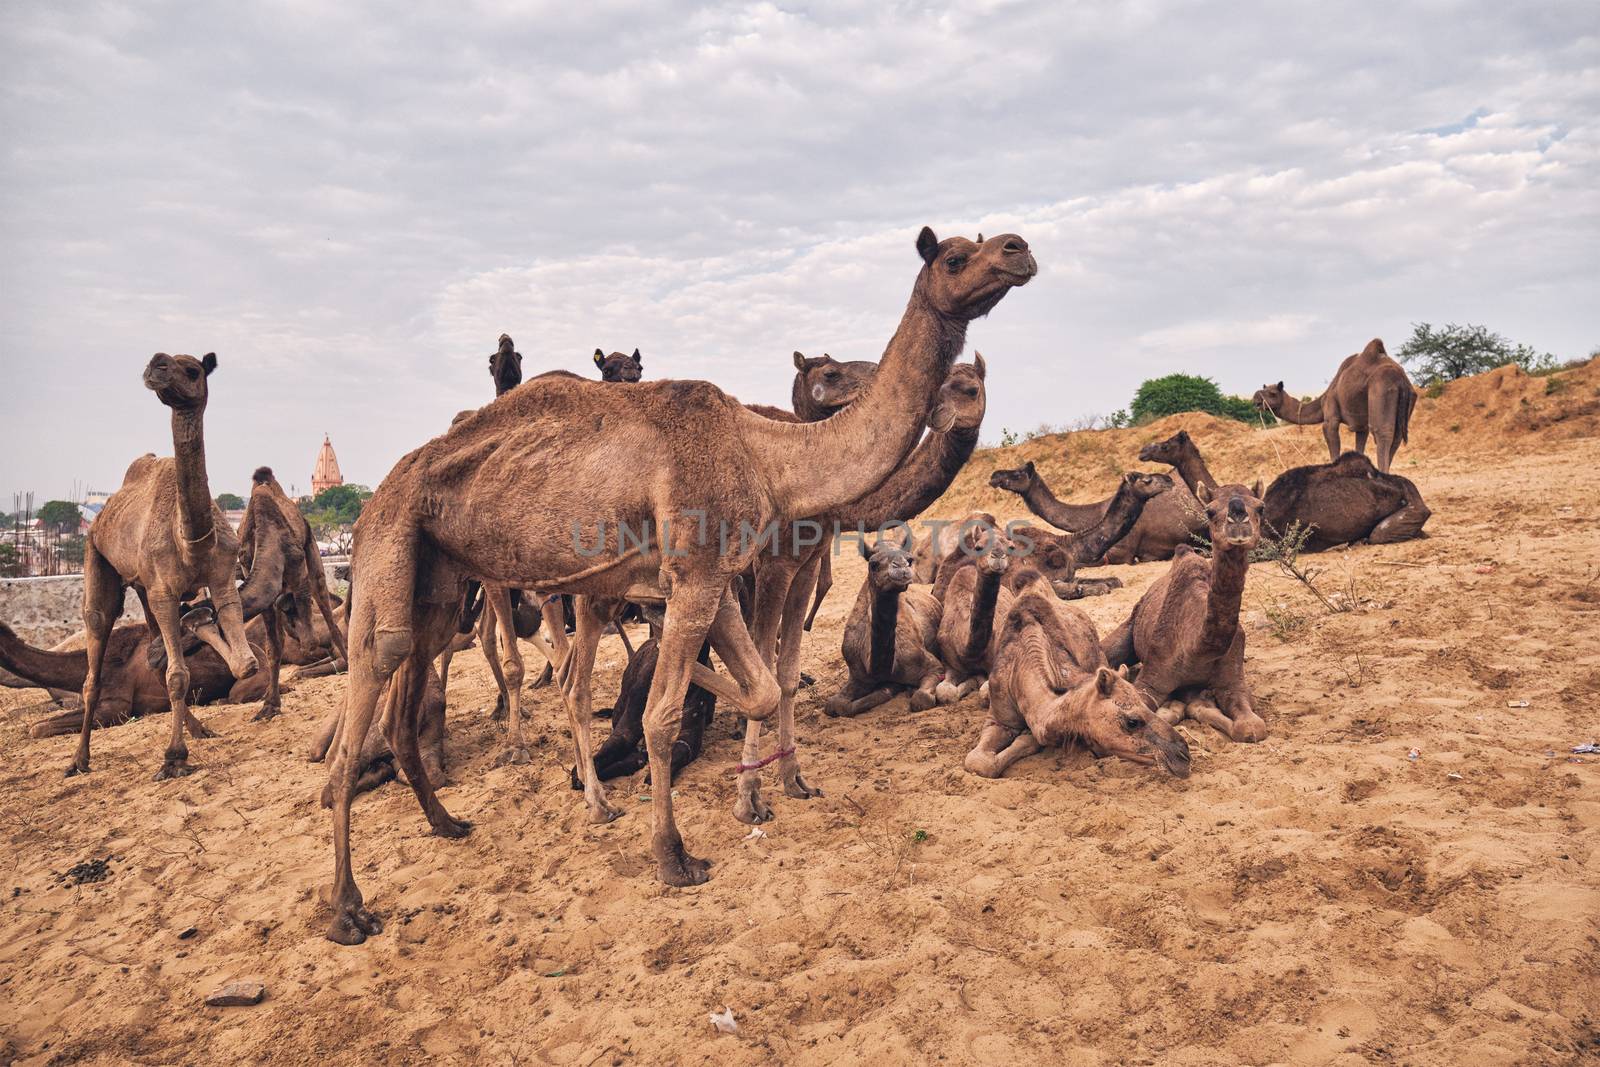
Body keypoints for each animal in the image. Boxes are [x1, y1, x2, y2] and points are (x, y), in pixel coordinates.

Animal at [67, 355, 256, 780]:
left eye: (193, 370)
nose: (157, 365)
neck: (191, 540)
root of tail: (101, 515)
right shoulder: (165, 591)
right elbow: (179, 673)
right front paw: (173, 758)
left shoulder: (221, 577)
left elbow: (245, 663)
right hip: (96, 555)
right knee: (96, 644)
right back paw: (79, 760)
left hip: (143, 586)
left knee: (158, 652)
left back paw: (199, 729)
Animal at [321, 227, 1036, 940]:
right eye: (955, 257)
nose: (1018, 248)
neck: (768, 454)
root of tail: (375, 495)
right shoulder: (708, 571)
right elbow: (664, 715)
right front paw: (677, 852)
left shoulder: (713, 575)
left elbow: (761, 686)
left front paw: (768, 778)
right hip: (386, 547)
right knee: (373, 683)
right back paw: (349, 906)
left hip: (440, 583)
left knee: (446, 668)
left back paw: (457, 821)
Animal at [1094, 483, 1267, 742]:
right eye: (1209, 511)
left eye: (1260, 507)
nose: (1238, 515)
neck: (1197, 648)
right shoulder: (1152, 678)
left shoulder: (1235, 682)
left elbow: (1251, 727)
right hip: (1129, 625)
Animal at [1254, 337, 1420, 470]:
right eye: (1265, 389)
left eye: (1272, 393)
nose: (1255, 398)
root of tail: (1401, 380)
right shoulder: (1361, 425)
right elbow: (1360, 446)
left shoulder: (1330, 415)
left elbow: (1333, 447)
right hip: (1409, 399)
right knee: (1397, 437)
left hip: (1381, 390)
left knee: (1382, 433)